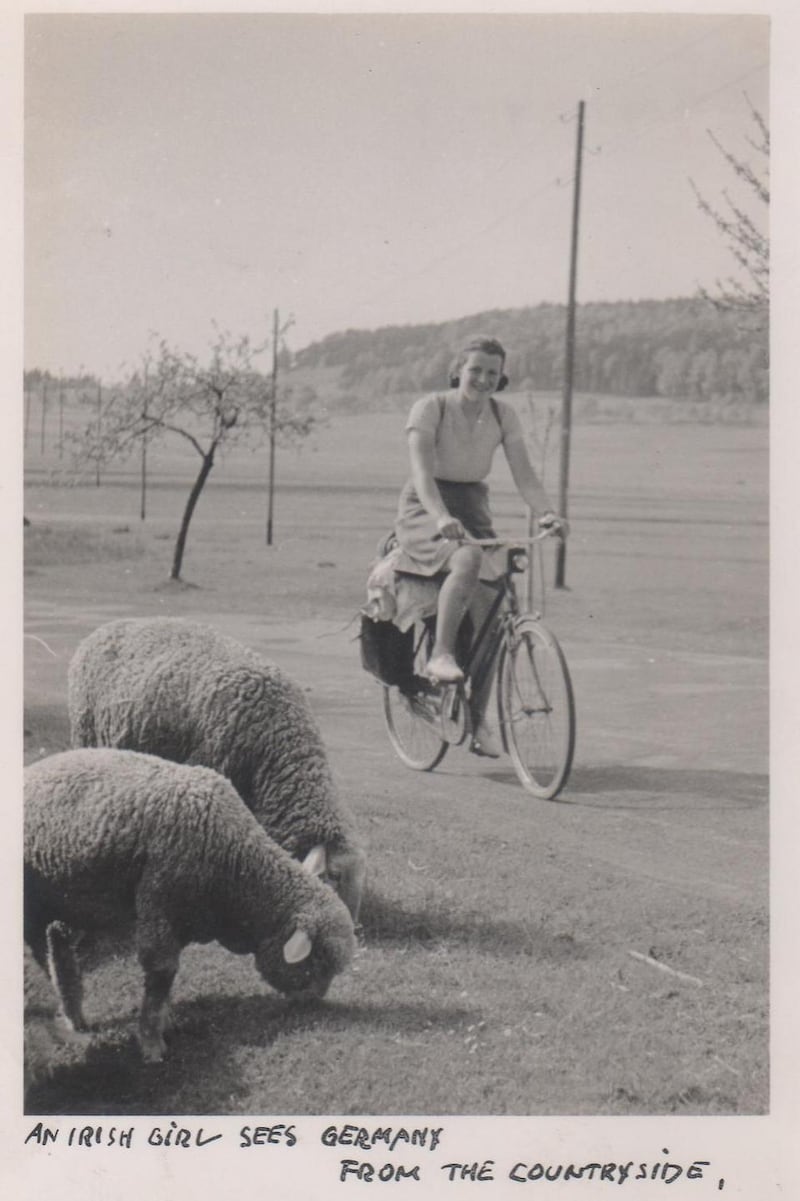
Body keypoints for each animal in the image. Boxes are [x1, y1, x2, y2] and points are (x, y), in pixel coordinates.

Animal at [23, 744, 353, 1066]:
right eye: (317, 961)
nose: (313, 1003)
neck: (237, 866)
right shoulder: (160, 906)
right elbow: (161, 975)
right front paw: (152, 1044)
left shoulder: (179, 918)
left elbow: (164, 984)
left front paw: (163, 1023)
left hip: (76, 901)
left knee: (58, 944)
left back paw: (74, 1014)